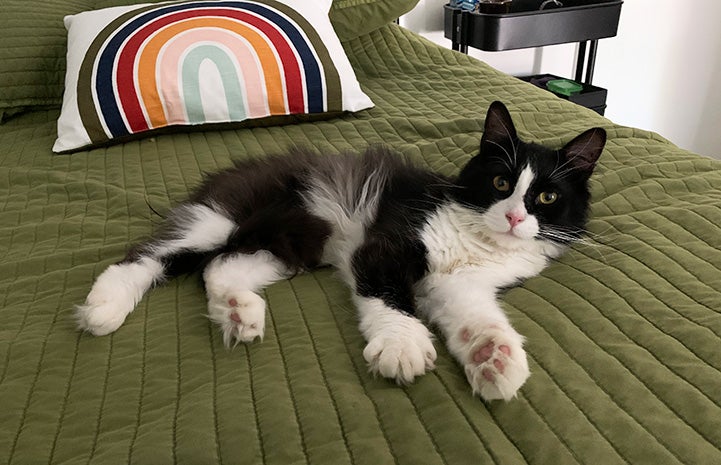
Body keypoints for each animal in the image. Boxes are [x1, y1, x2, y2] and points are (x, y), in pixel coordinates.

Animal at [76, 100, 604, 398]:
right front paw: (403, 345)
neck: (477, 240)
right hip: (222, 218)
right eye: (500, 184)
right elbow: (389, 298)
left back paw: (239, 312)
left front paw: (493, 356)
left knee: (220, 268)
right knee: (146, 256)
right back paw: (103, 308)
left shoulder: (462, 285)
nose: (515, 217)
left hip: (283, 248)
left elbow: (479, 317)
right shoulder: (385, 244)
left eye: (547, 198)